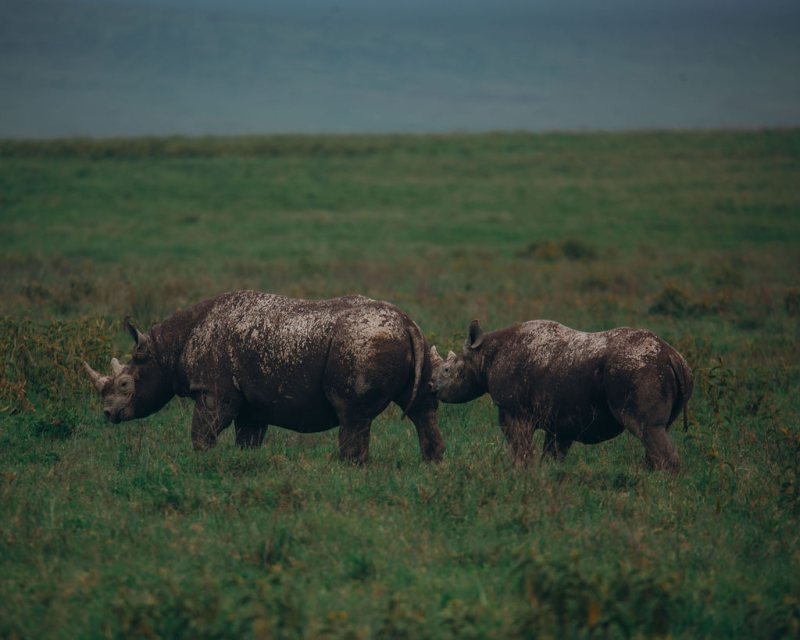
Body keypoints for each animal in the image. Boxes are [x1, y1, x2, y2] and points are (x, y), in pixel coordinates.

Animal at [83, 291, 445, 463]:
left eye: (126, 384)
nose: (108, 414)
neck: (165, 349)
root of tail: (406, 321)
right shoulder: (251, 402)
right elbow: (248, 439)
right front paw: (245, 466)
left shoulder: (214, 390)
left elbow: (202, 432)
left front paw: (202, 463)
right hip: (412, 341)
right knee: (421, 410)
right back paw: (432, 466)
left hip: (363, 341)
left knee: (352, 414)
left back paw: (347, 470)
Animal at [430, 319, 692, 471]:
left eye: (447, 370)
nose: (432, 386)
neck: (485, 355)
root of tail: (673, 357)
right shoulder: (564, 418)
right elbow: (553, 454)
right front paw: (548, 476)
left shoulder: (513, 410)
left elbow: (519, 446)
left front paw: (519, 474)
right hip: (656, 369)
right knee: (657, 431)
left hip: (638, 369)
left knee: (647, 429)